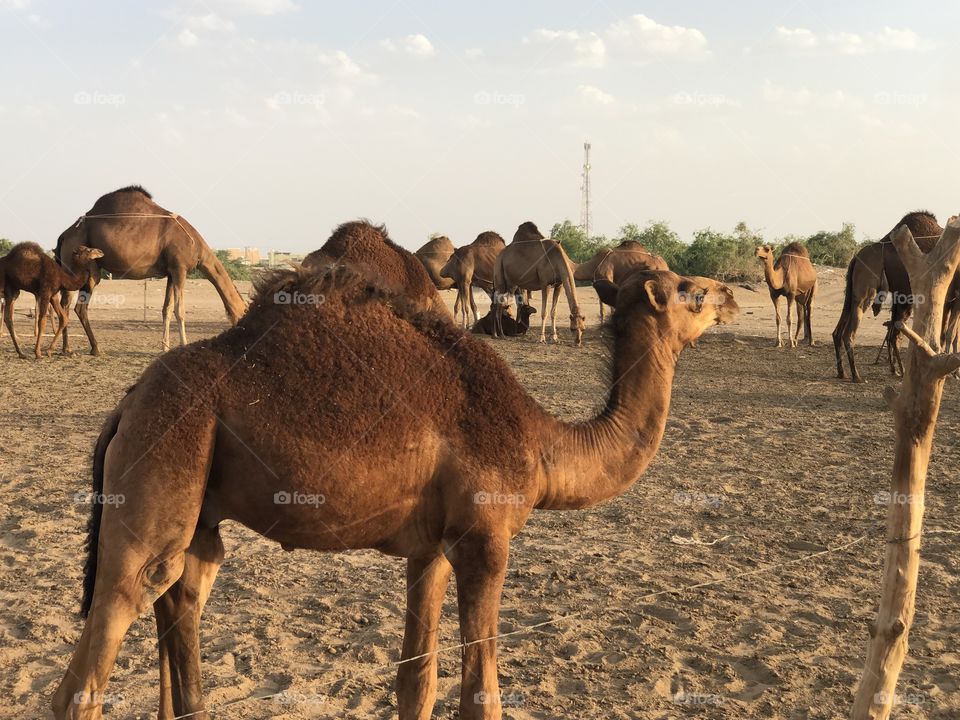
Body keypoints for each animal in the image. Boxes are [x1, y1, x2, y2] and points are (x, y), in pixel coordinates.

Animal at [53, 263, 738, 720]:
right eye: (692, 290)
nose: (733, 294)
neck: (542, 445)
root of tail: (125, 403)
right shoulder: (484, 542)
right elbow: (480, 698)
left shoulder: (432, 548)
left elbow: (418, 685)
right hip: (165, 450)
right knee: (109, 633)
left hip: (197, 503)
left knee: (183, 588)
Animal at [55, 186, 246, 355]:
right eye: (245, 312)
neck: (198, 249)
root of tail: (64, 235)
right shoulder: (180, 268)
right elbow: (180, 310)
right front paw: (183, 345)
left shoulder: (171, 272)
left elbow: (166, 309)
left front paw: (165, 347)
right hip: (79, 264)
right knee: (73, 305)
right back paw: (84, 349)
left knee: (71, 306)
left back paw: (72, 349)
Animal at [833, 211, 943, 382]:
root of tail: (855, 258)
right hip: (865, 288)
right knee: (849, 333)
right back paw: (856, 375)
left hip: (851, 291)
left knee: (838, 331)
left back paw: (842, 372)